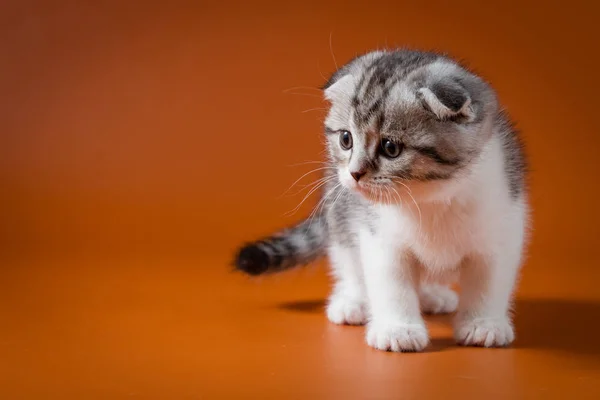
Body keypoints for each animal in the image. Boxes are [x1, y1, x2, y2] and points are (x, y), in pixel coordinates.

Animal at [232, 48, 528, 352]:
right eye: (346, 139)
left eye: (390, 148)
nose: (354, 173)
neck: (431, 199)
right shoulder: (379, 235)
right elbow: (390, 282)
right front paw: (399, 329)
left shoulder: (501, 226)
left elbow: (489, 282)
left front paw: (484, 324)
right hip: (339, 212)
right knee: (348, 259)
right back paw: (352, 302)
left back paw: (432, 295)